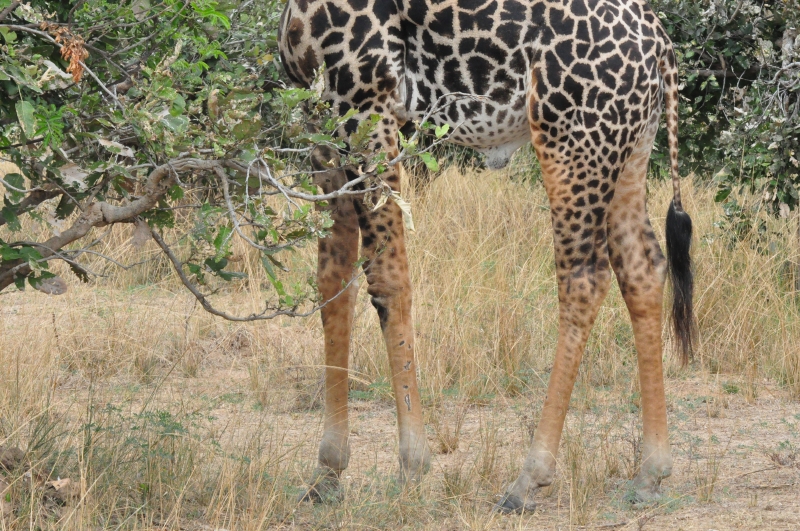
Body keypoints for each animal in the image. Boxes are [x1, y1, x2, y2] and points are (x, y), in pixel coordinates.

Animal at [278, 0, 694, 512]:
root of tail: (660, 44)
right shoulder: (321, 122)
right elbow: (333, 283)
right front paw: (327, 472)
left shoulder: (366, 106)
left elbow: (387, 281)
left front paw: (412, 466)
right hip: (629, 148)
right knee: (642, 268)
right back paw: (651, 472)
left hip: (572, 142)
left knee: (584, 278)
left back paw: (528, 479)